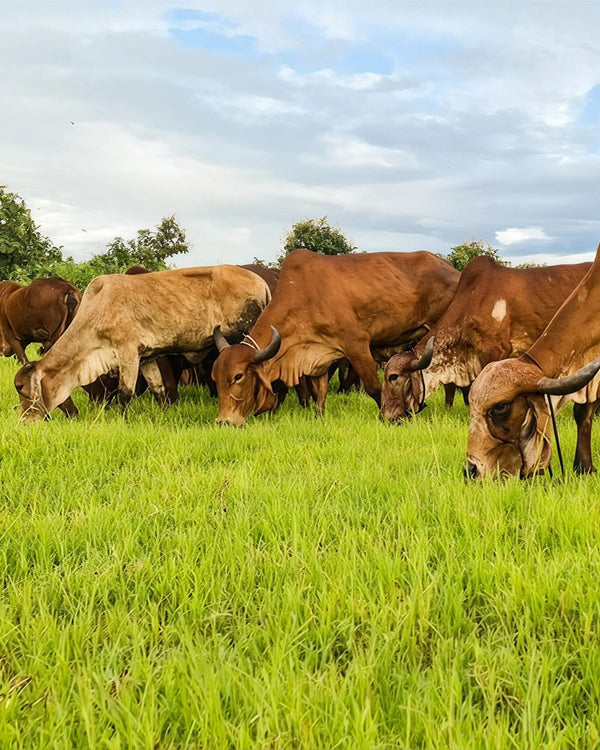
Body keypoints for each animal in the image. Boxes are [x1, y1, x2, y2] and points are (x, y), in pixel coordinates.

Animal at [14, 265, 271, 420]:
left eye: (21, 388)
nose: (23, 420)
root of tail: (261, 282)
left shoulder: (128, 352)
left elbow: (125, 393)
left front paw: (122, 421)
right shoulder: (147, 357)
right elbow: (159, 389)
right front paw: (165, 415)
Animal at [211, 248, 460, 426]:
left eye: (238, 377)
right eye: (215, 378)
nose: (224, 422)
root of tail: (452, 269)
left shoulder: (357, 345)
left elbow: (374, 388)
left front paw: (386, 416)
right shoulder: (319, 356)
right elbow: (319, 393)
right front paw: (318, 418)